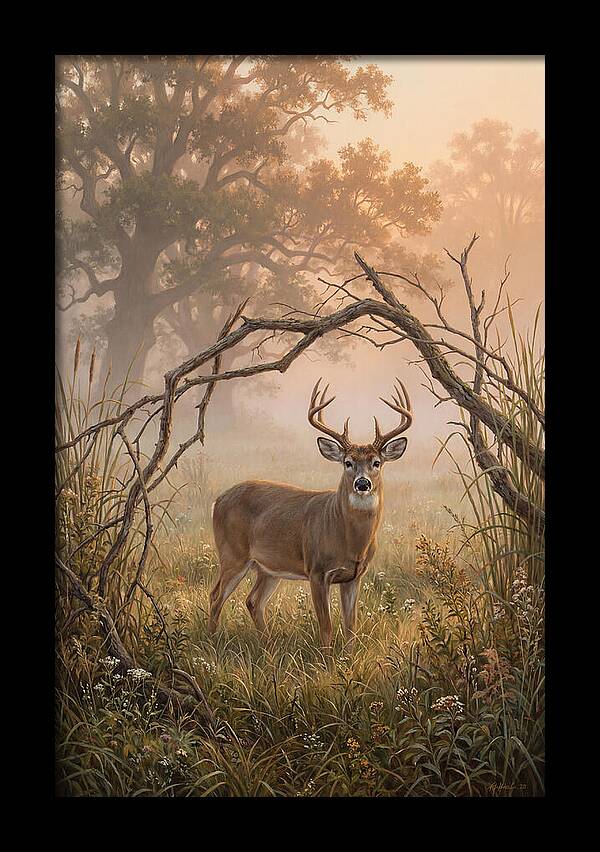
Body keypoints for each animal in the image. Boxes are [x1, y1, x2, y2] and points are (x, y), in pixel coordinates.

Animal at [208, 377, 413, 657]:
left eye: (377, 462)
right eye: (348, 462)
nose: (362, 483)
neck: (349, 540)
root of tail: (218, 500)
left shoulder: (354, 576)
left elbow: (351, 626)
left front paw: (348, 659)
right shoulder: (317, 570)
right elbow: (326, 626)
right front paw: (327, 662)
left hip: (268, 567)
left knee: (253, 601)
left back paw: (268, 649)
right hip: (233, 554)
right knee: (216, 596)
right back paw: (209, 643)